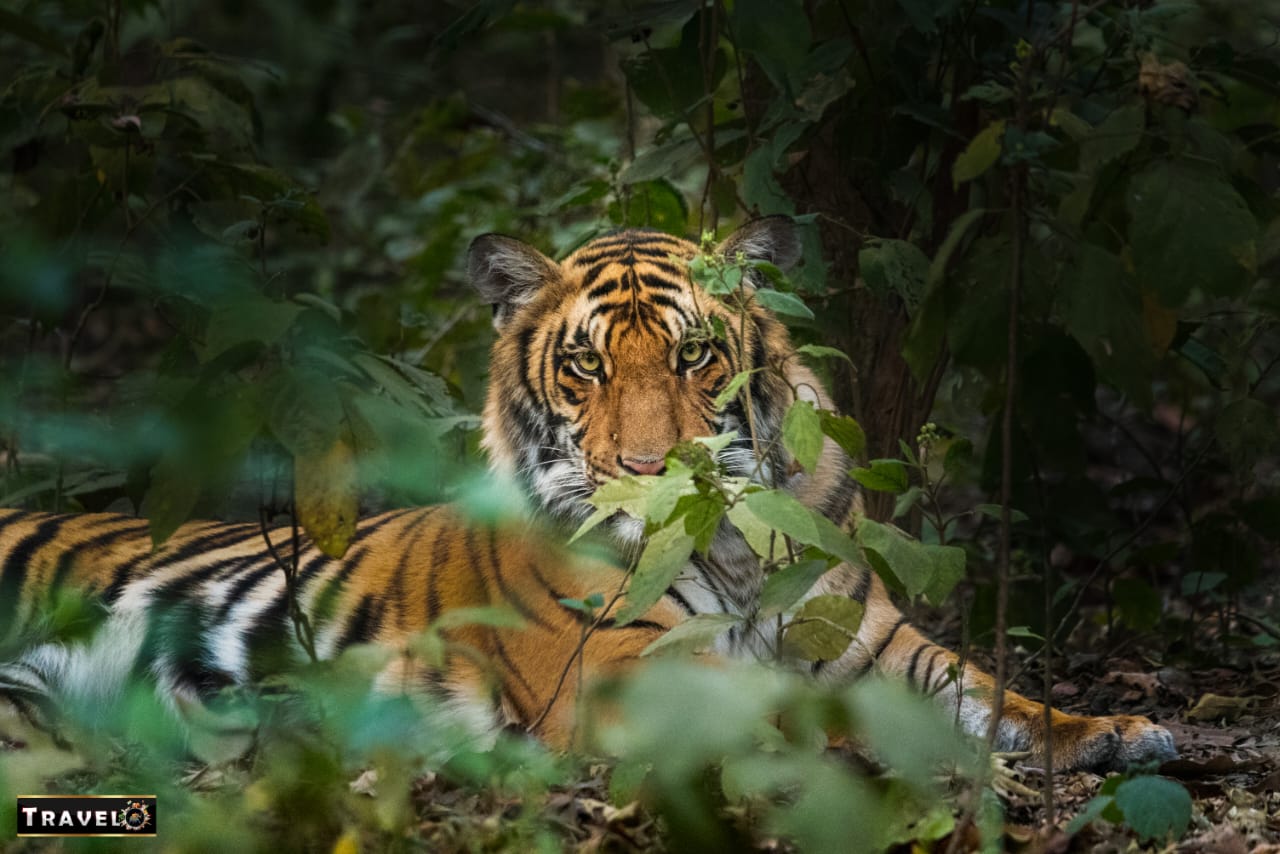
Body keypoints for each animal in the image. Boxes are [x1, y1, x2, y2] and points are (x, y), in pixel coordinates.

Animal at [0, 216, 1176, 773]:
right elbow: (781, 707)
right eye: (585, 368)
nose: (652, 475)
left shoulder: (866, 638)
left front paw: (1116, 730)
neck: (733, 548)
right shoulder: (620, 666)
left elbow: (989, 692)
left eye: (695, 356)